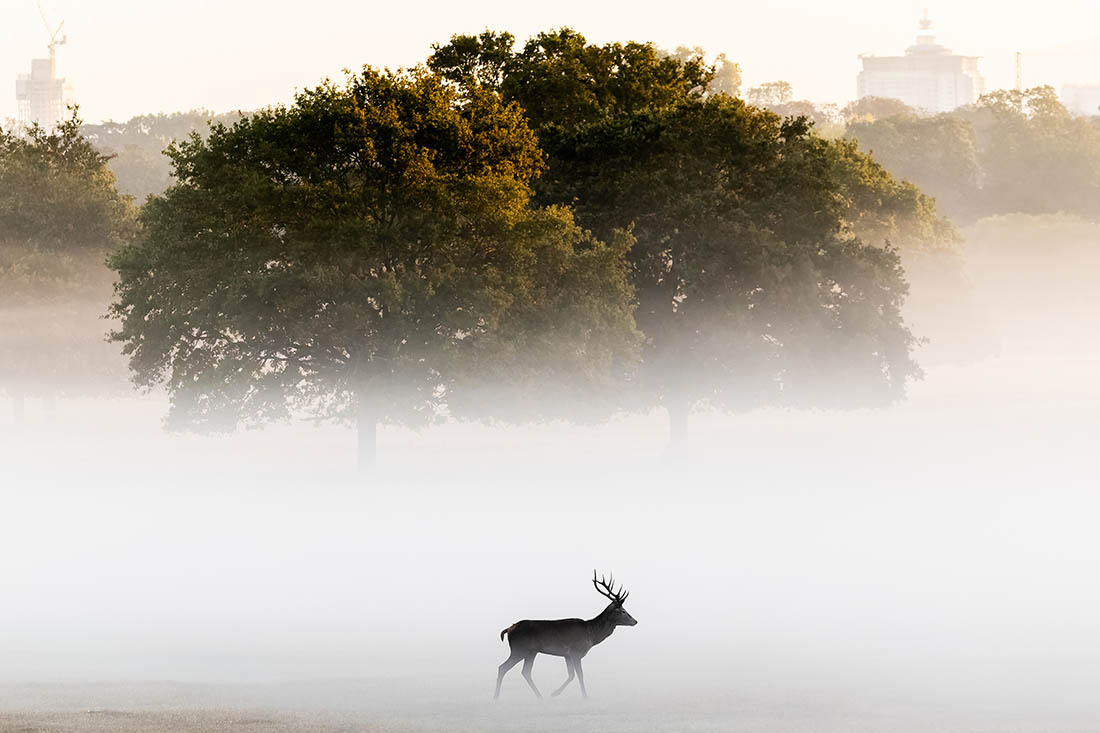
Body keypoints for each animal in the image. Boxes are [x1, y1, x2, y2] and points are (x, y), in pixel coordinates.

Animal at [494, 571, 637, 700]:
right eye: (623, 611)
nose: (635, 621)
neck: (591, 634)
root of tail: (508, 629)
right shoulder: (575, 652)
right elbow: (580, 674)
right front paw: (585, 696)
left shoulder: (567, 655)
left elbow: (571, 675)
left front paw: (554, 693)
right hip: (519, 649)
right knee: (503, 667)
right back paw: (496, 696)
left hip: (531, 652)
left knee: (525, 672)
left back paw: (539, 696)